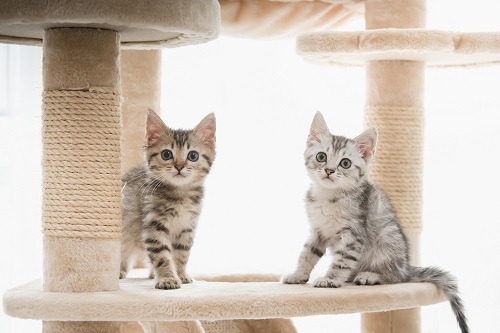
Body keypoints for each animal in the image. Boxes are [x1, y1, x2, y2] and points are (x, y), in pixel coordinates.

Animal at [121, 110, 217, 290]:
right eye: (167, 154)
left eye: (193, 155)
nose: (179, 167)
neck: (180, 195)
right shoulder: (154, 225)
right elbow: (161, 256)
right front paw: (167, 278)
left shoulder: (187, 228)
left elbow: (181, 254)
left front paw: (180, 274)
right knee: (123, 250)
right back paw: (120, 271)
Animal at [286, 111, 468, 332]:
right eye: (321, 157)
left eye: (345, 163)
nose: (329, 170)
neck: (328, 197)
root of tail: (406, 266)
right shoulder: (318, 230)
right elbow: (306, 255)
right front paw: (297, 275)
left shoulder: (354, 234)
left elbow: (341, 261)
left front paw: (330, 280)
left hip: (387, 239)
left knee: (396, 278)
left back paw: (370, 276)